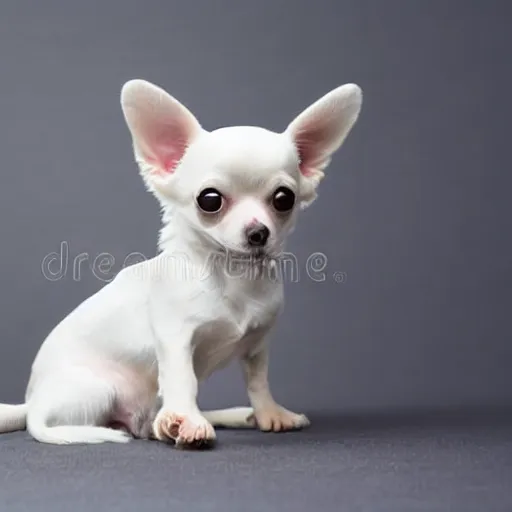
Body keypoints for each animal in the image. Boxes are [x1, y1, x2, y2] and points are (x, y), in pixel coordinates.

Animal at [0, 78, 362, 446]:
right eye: (210, 200)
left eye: (284, 199)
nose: (258, 232)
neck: (232, 276)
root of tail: (32, 403)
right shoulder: (176, 340)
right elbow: (181, 378)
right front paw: (189, 421)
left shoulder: (257, 346)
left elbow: (258, 381)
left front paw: (270, 414)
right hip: (96, 389)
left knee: (151, 424)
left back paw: (221, 417)